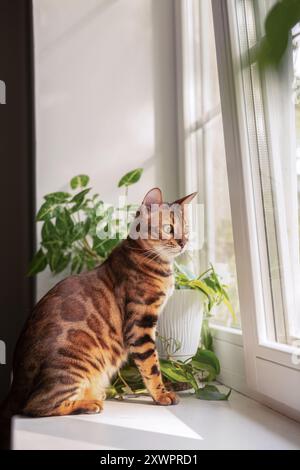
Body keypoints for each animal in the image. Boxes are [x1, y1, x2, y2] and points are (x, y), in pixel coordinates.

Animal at [3, 187, 198, 418]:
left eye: (186, 229)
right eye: (169, 228)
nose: (184, 242)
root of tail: (15, 388)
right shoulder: (140, 324)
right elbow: (151, 366)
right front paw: (161, 395)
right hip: (75, 364)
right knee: (37, 405)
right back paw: (88, 403)